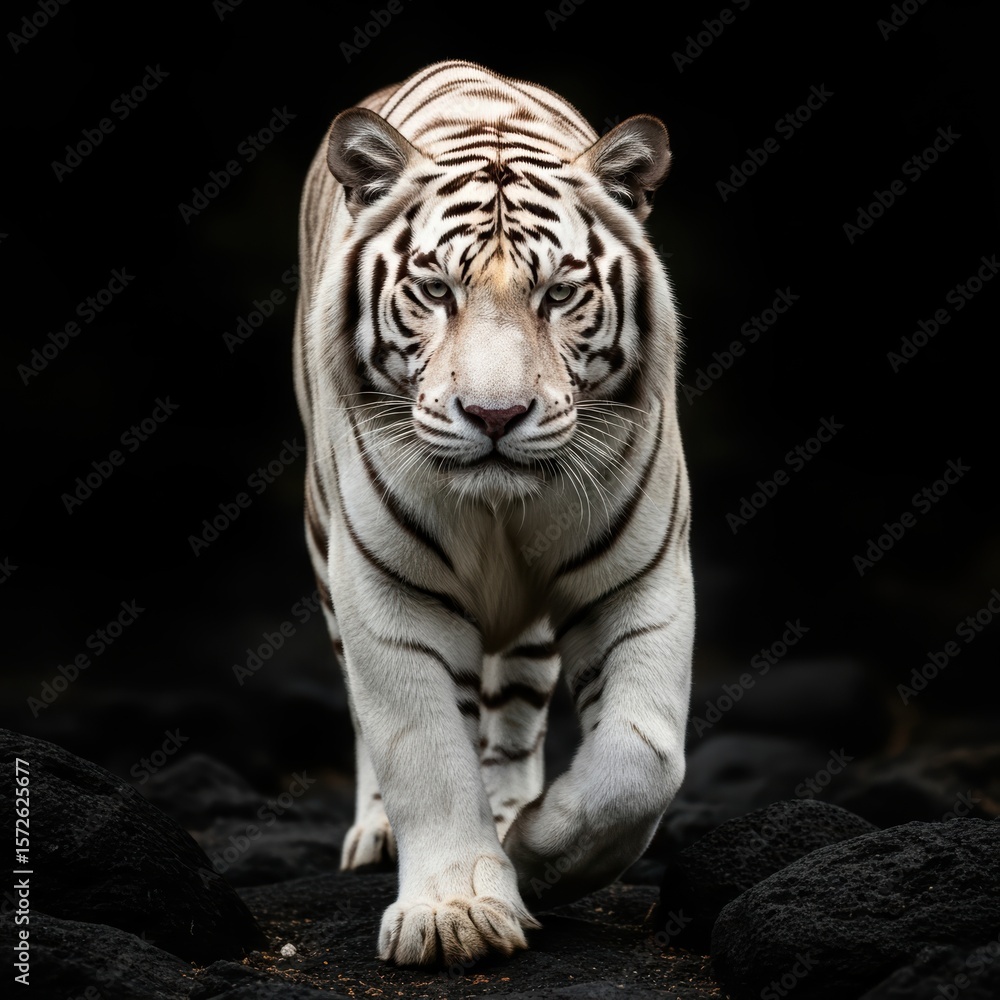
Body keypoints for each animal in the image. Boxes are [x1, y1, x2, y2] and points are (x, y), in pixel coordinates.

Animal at [293, 59, 694, 967]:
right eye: (435, 289)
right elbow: (426, 754)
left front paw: (535, 856)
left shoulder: (641, 581)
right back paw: (380, 833)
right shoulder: (387, 596)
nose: (496, 415)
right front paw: (456, 915)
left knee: (512, 719)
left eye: (560, 294)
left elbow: (642, 759)